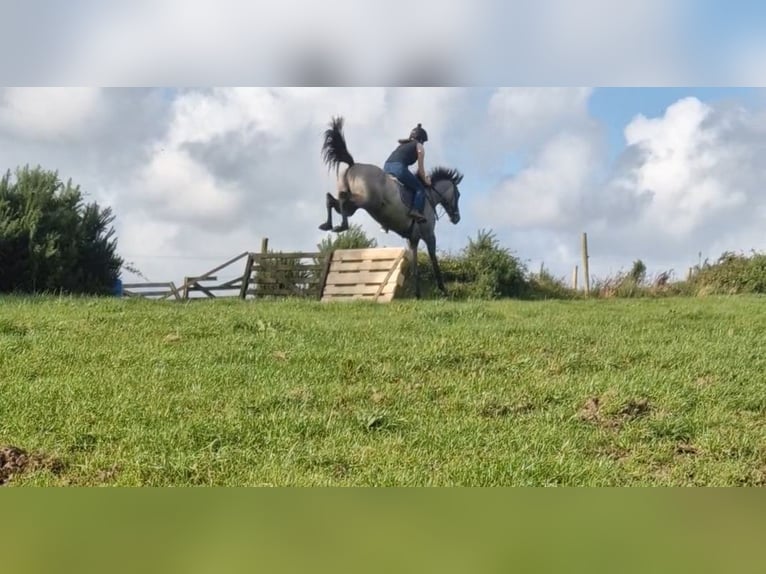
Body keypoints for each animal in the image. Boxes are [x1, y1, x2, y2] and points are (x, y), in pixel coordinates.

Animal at [318, 116, 463, 299]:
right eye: (458, 195)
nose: (457, 218)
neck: (430, 197)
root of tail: (353, 165)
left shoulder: (412, 239)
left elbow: (415, 268)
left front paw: (417, 295)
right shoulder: (429, 235)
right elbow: (434, 261)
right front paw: (443, 290)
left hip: (352, 206)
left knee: (331, 200)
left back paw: (328, 225)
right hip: (366, 201)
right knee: (343, 199)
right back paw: (342, 226)